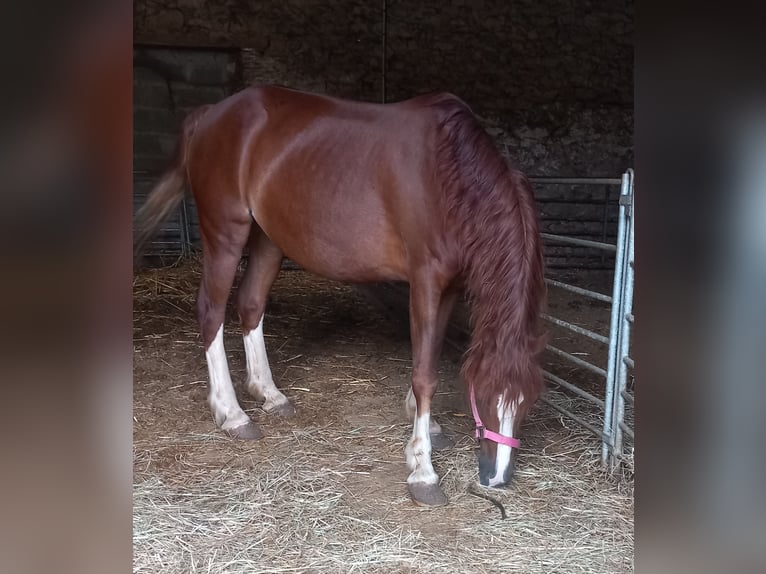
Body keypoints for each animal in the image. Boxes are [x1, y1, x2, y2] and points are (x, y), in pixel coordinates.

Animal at [135, 84, 548, 504]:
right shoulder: (426, 279)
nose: (496, 478)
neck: (448, 174)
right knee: (211, 311)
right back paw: (232, 414)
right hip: (225, 232)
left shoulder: (448, 286)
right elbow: (425, 374)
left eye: (530, 400)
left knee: (250, 305)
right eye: (484, 396)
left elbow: (428, 357)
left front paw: (426, 426)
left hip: (268, 239)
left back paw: (269, 394)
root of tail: (209, 114)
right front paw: (422, 469)